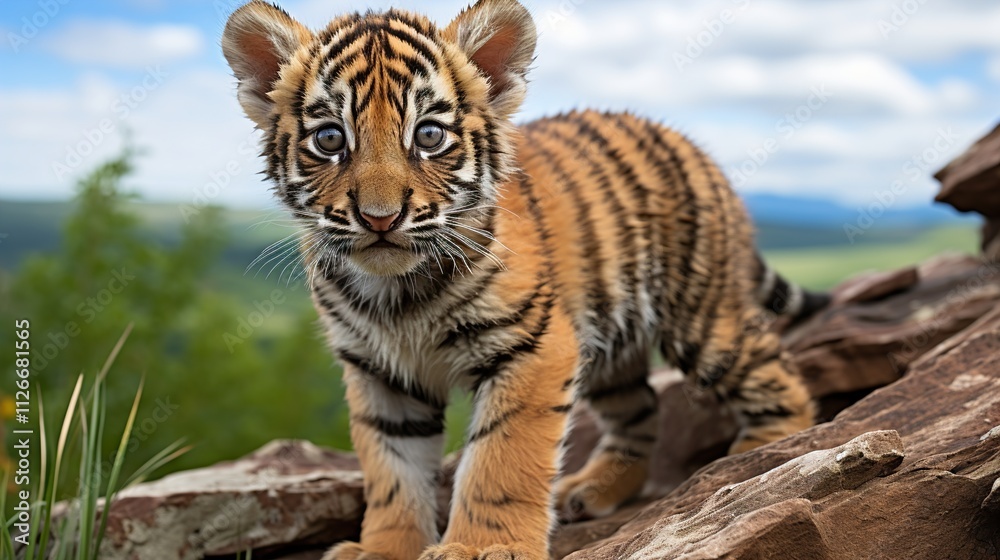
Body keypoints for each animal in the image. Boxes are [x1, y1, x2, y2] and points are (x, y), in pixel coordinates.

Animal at [222, 1, 829, 559]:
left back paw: (755, 462)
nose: (379, 218)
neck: (395, 294)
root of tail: (688, 143)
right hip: (607, 344)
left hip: (700, 316)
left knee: (778, 376)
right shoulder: (379, 372)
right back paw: (593, 490)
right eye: (329, 139)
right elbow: (391, 472)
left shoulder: (532, 346)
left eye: (429, 135)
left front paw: (480, 548)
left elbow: (501, 457)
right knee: (639, 412)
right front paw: (384, 551)